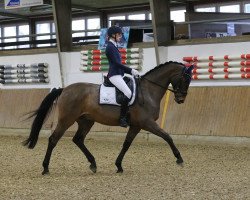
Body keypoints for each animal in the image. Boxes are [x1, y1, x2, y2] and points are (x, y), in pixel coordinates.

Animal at [23, 61, 193, 175]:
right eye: (185, 79)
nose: (181, 99)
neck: (148, 91)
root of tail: (64, 89)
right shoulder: (147, 123)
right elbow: (167, 136)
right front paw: (179, 159)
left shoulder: (136, 125)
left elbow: (126, 144)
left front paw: (119, 166)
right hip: (67, 120)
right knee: (53, 139)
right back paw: (45, 168)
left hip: (86, 121)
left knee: (78, 139)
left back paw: (93, 164)